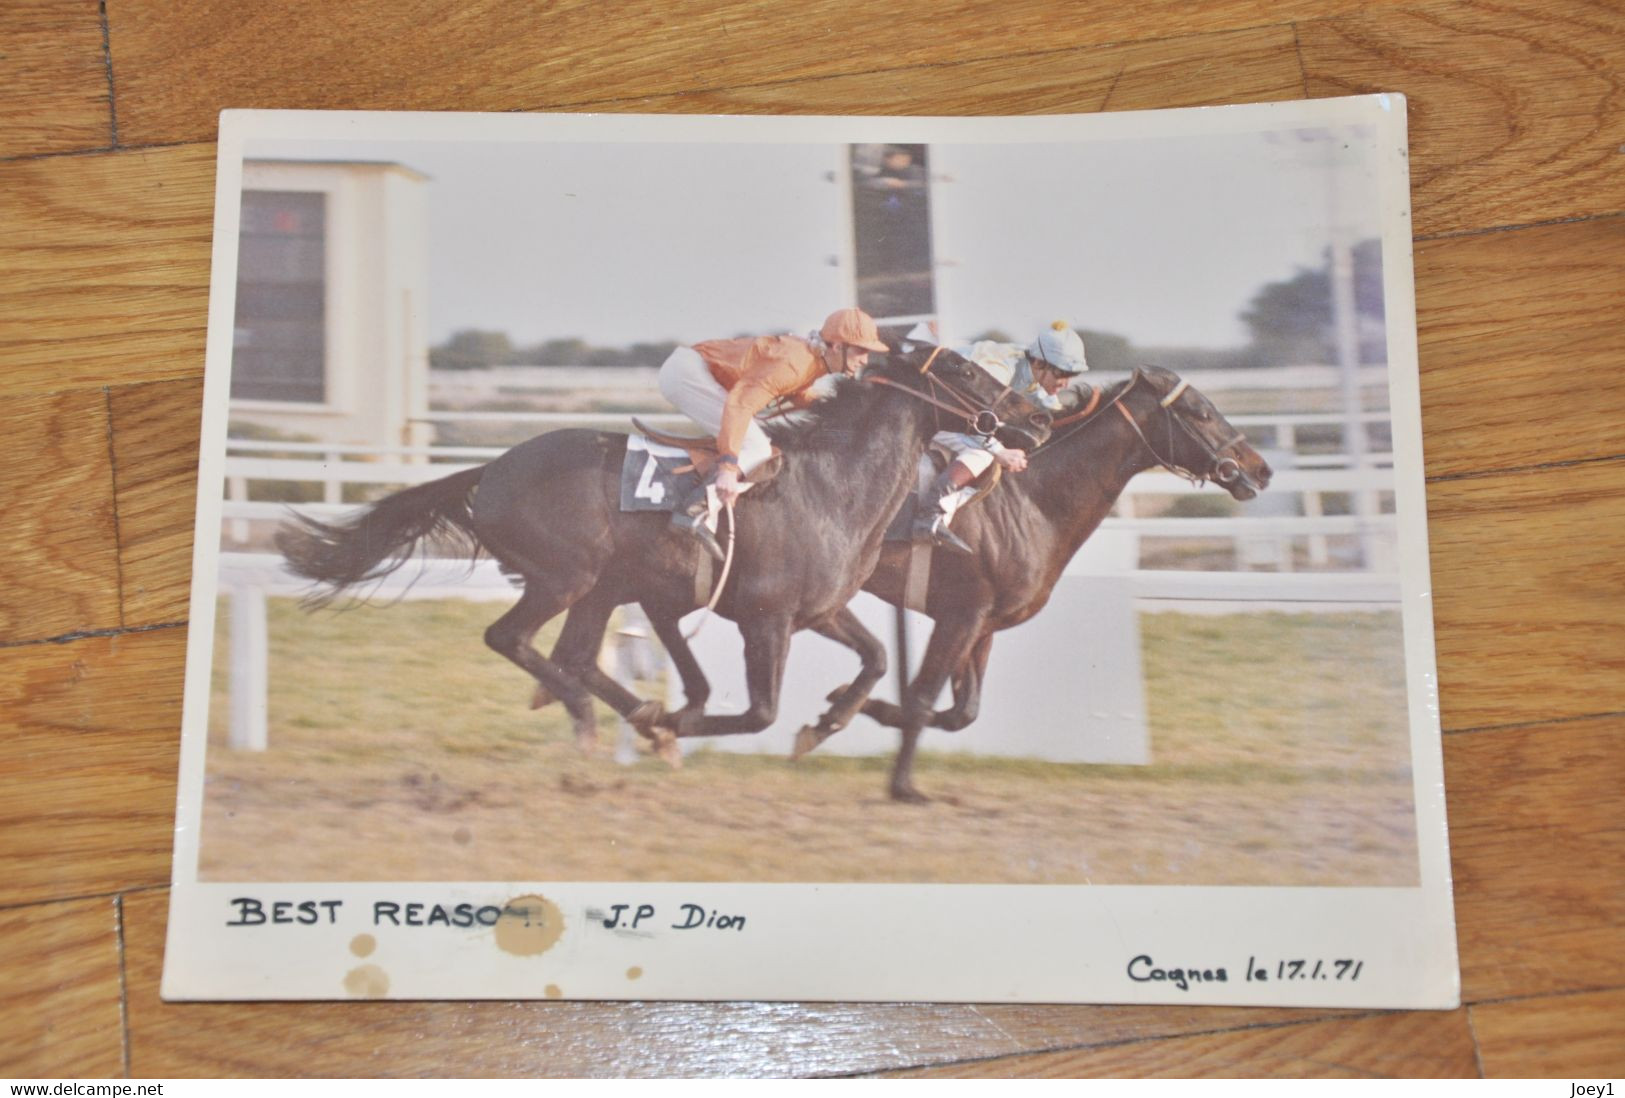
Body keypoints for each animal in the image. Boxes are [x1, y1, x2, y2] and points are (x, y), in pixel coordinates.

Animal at [277, 347, 1046, 760]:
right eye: (966, 372)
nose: (1036, 418)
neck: (836, 485)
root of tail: (490, 469)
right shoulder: (765, 618)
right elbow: (759, 711)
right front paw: (681, 720)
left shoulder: (818, 609)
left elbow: (877, 657)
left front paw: (827, 719)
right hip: (565, 576)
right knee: (514, 640)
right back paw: (603, 720)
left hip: (596, 588)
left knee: (574, 655)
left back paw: (623, 718)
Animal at [793, 363, 1274, 802]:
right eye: (1201, 412)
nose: (1261, 469)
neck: (1031, 499)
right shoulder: (960, 614)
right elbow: (923, 697)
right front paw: (901, 784)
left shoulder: (982, 623)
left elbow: (962, 712)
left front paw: (857, 706)